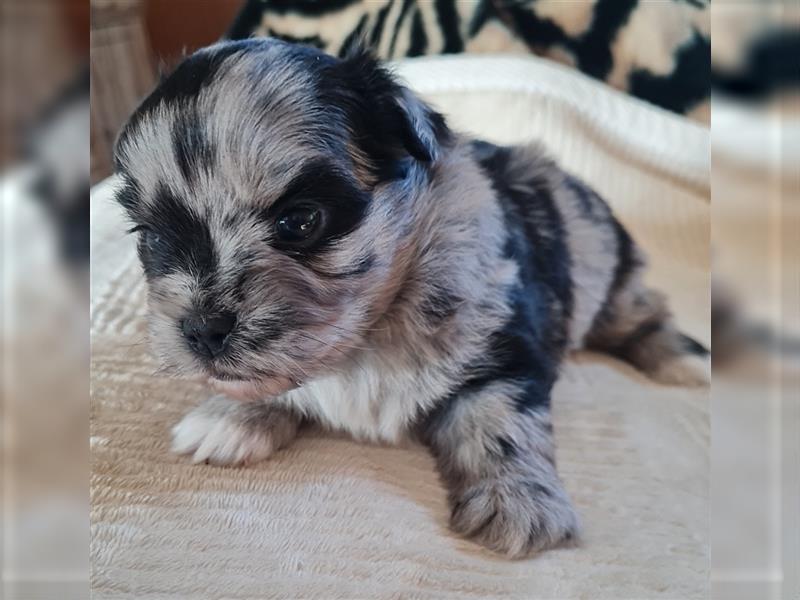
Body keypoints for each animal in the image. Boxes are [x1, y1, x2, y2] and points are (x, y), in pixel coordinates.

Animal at [112, 38, 708, 556]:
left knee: (642, 314)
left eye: (301, 221)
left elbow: (500, 418)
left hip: (608, 275)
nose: (202, 331)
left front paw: (517, 502)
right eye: (154, 239)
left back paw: (684, 362)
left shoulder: (503, 343)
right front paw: (229, 419)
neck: (371, 332)